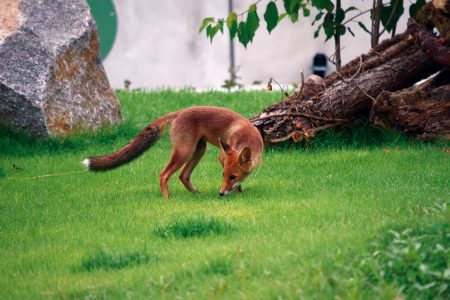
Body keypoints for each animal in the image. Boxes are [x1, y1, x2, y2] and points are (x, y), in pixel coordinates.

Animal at [83, 106, 264, 198]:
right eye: (224, 175)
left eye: (232, 176)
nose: (220, 194)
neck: (247, 136)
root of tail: (180, 112)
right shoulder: (222, 157)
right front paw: (236, 193)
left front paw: (238, 191)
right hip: (184, 152)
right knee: (164, 174)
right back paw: (167, 198)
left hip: (199, 150)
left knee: (183, 176)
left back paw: (196, 194)